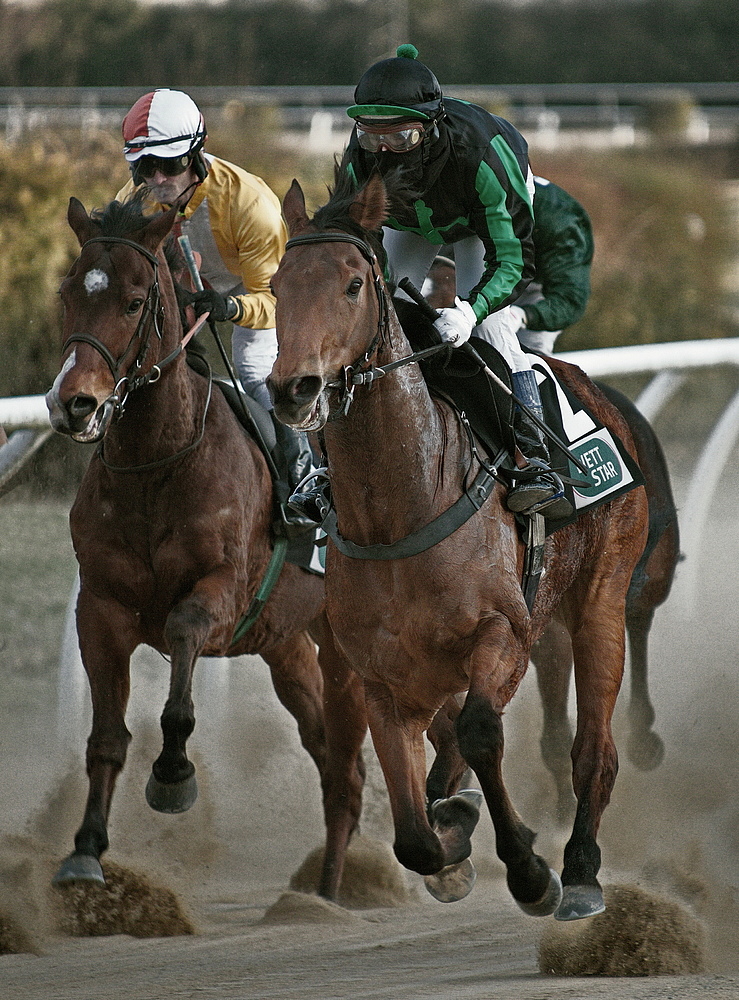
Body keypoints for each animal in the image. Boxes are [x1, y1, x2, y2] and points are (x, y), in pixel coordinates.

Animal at [44, 197, 368, 900]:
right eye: (68, 292)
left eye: (135, 301)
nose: (73, 402)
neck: (158, 463)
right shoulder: (101, 608)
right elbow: (106, 736)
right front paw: (84, 850)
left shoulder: (220, 592)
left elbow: (182, 649)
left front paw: (172, 775)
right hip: (286, 644)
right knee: (336, 762)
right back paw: (326, 890)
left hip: (350, 643)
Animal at [268, 172, 652, 920]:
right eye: (275, 284)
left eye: (353, 284)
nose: (293, 387)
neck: (401, 505)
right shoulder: (381, 679)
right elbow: (414, 835)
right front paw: (451, 841)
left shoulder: (504, 631)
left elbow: (479, 733)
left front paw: (529, 872)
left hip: (600, 599)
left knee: (593, 749)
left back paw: (580, 872)